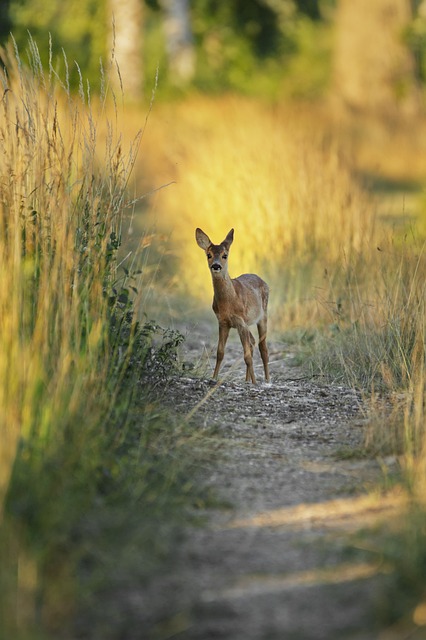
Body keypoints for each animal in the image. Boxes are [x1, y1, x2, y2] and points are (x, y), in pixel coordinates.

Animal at [195, 227, 270, 384]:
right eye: (209, 255)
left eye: (225, 255)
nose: (216, 266)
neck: (229, 301)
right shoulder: (223, 322)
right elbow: (220, 352)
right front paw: (214, 378)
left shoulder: (240, 321)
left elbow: (247, 356)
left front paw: (255, 383)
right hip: (247, 324)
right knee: (253, 342)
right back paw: (247, 380)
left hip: (263, 316)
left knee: (263, 348)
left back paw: (266, 380)